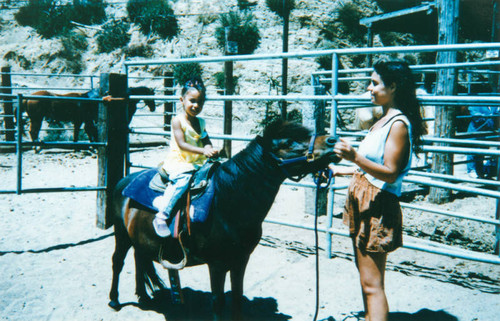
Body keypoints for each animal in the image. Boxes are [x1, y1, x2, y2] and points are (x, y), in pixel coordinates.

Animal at [107, 119, 338, 318]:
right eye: (288, 142)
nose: (332, 141)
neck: (228, 203)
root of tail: (125, 181)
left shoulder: (241, 259)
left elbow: (236, 297)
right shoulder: (217, 264)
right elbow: (217, 302)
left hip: (136, 239)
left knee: (139, 258)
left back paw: (144, 297)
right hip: (121, 234)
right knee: (118, 261)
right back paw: (114, 300)